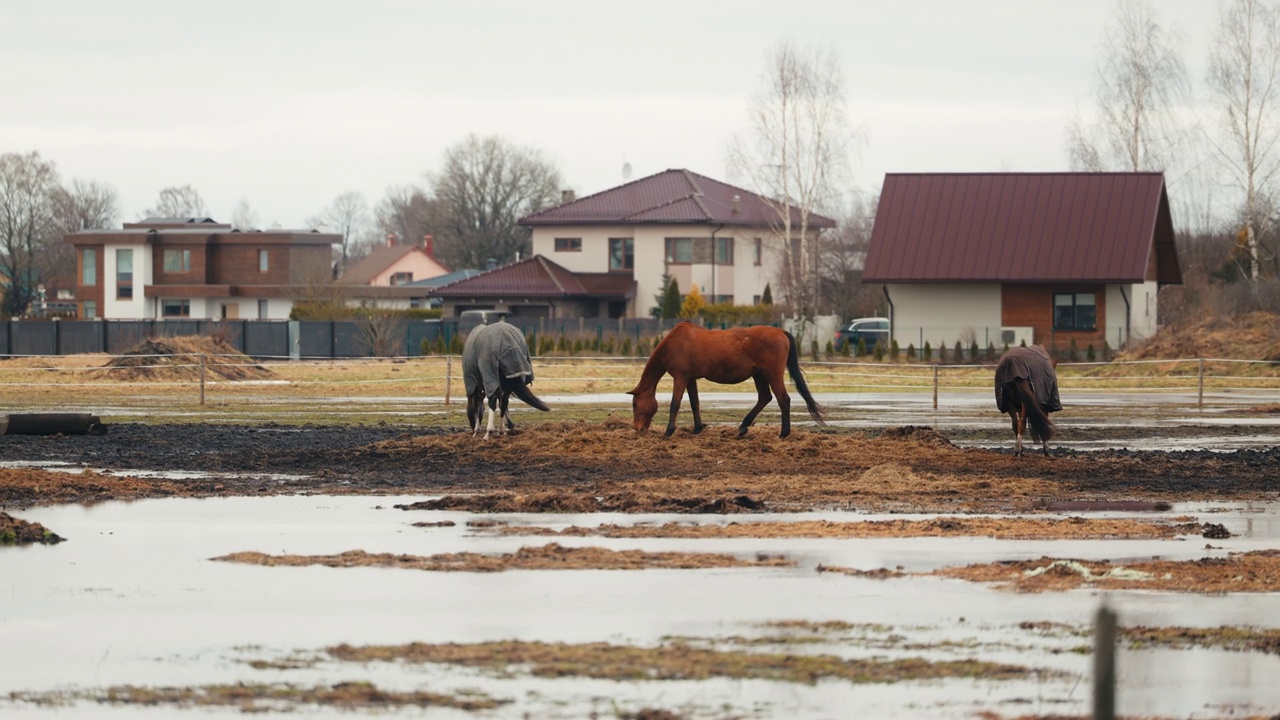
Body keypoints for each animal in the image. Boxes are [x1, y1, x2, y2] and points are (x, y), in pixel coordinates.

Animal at [624, 320, 824, 438]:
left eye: (635, 403)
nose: (637, 428)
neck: (674, 342)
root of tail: (780, 331)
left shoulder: (680, 378)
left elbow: (675, 403)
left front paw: (668, 431)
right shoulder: (690, 379)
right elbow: (695, 402)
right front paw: (697, 428)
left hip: (771, 374)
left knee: (783, 399)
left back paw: (784, 433)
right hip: (759, 375)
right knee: (764, 398)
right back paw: (743, 427)